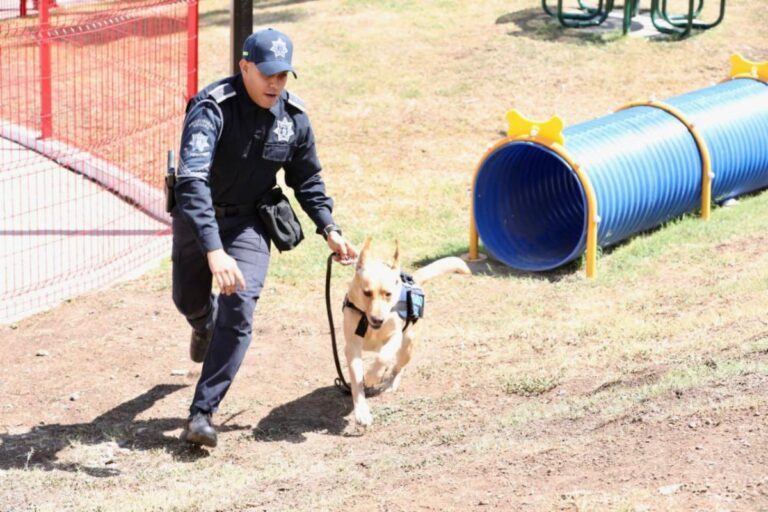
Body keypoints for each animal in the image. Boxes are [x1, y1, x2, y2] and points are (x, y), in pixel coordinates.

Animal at [344, 238, 472, 426]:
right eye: (366, 293)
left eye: (388, 294)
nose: (378, 320)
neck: (367, 321)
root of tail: (414, 280)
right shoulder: (352, 346)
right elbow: (356, 381)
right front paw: (362, 412)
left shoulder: (395, 337)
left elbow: (382, 358)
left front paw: (372, 376)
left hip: (407, 346)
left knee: (398, 367)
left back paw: (390, 382)